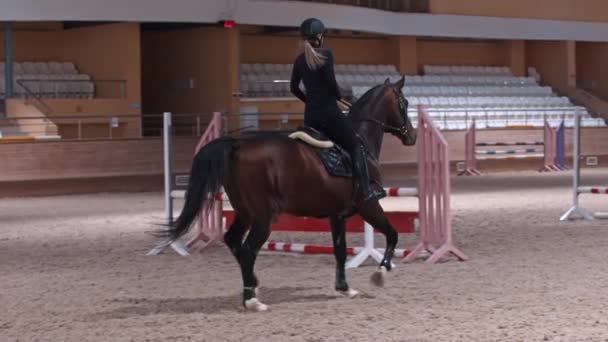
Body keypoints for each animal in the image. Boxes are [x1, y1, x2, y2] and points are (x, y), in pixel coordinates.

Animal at [158, 76, 418, 312]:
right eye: (404, 102)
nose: (412, 136)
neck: (360, 139)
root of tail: (237, 145)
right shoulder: (369, 205)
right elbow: (392, 234)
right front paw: (381, 272)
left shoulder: (337, 215)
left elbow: (340, 250)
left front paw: (345, 288)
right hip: (264, 216)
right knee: (248, 249)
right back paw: (252, 300)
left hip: (245, 211)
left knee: (233, 240)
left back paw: (253, 285)